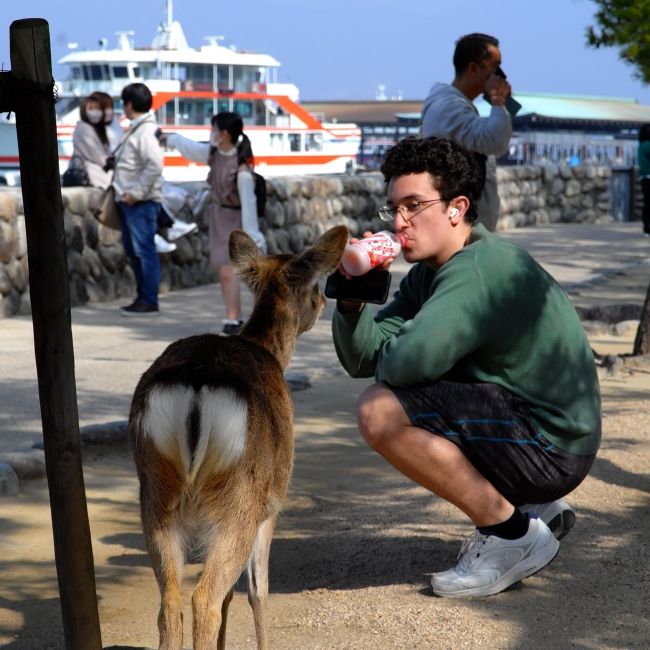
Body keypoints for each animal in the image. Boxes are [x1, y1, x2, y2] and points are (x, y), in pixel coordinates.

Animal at [128, 224, 350, 648]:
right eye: (316, 285)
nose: (323, 302)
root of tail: (196, 383)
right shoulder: (273, 503)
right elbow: (257, 591)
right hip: (243, 493)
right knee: (205, 598)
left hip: (155, 487)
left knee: (169, 602)